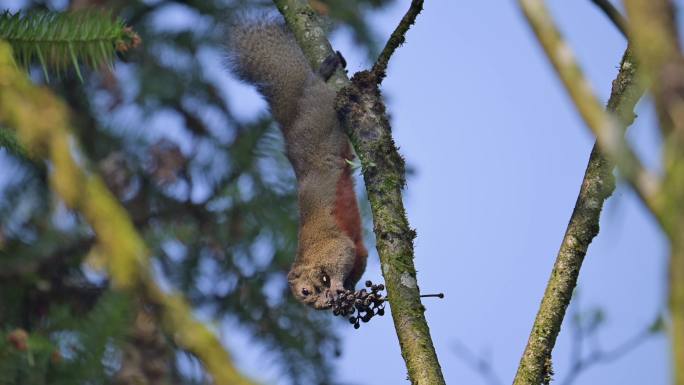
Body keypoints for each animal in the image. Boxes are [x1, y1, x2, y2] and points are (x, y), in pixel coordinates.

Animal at [227, 18, 368, 308]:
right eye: (309, 303)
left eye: (305, 291)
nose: (324, 305)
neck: (308, 258)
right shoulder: (358, 251)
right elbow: (358, 260)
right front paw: (350, 288)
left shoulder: (330, 245)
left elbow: (342, 255)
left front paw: (337, 286)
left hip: (320, 110)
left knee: (315, 87)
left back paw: (323, 71)